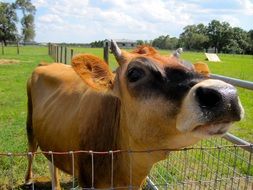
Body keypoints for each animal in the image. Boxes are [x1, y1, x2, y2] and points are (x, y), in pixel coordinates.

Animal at [24, 40, 244, 189]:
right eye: (134, 73)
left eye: (190, 67)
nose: (225, 94)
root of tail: (46, 64)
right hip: (30, 124)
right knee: (32, 151)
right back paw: (28, 180)